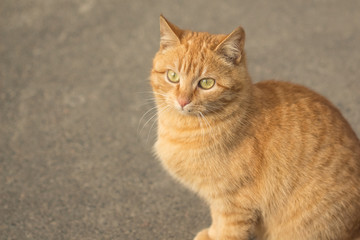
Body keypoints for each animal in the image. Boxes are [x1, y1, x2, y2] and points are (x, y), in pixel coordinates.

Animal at [150, 15, 360, 240]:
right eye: (172, 76)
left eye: (206, 83)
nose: (182, 101)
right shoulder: (220, 201)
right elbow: (217, 220)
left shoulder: (234, 203)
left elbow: (227, 231)